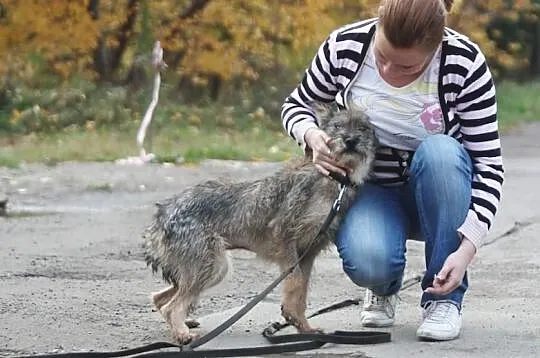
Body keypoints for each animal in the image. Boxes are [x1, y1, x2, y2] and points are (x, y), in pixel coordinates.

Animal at [142, 107, 376, 342]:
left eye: (363, 128)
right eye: (338, 126)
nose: (350, 140)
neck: (333, 177)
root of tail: (163, 213)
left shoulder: (308, 253)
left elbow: (301, 293)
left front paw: (304, 328)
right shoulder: (286, 240)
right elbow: (295, 286)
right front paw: (294, 319)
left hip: (206, 269)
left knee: (159, 299)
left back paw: (183, 326)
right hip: (214, 266)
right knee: (172, 306)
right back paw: (183, 334)